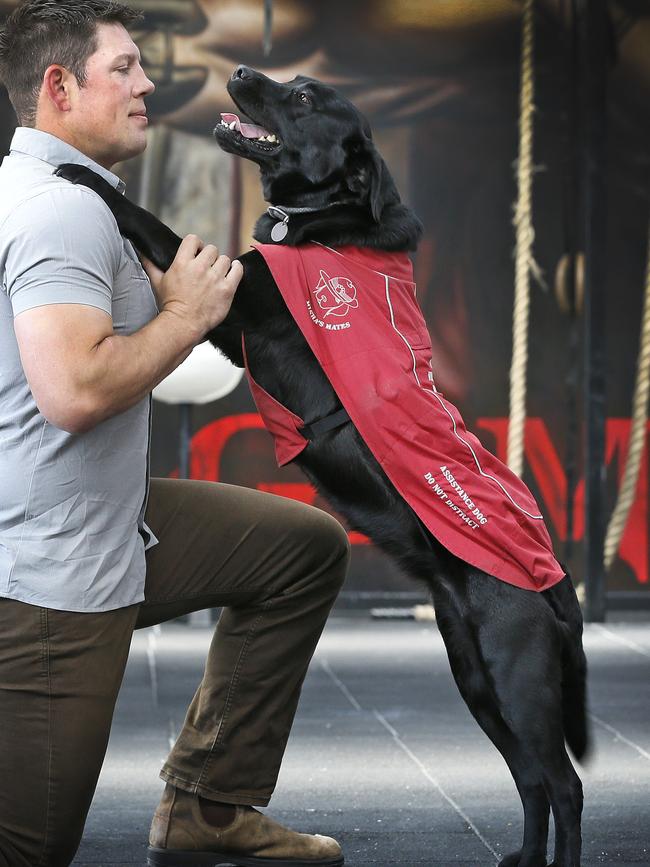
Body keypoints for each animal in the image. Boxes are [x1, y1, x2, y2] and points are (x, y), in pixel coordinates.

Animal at [58, 62, 588, 867]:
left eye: (304, 98)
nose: (243, 70)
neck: (320, 221)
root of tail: (555, 576)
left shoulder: (236, 298)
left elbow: (150, 221)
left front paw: (84, 177)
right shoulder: (228, 325)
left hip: (518, 677)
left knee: (565, 784)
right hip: (476, 677)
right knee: (532, 779)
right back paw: (524, 858)